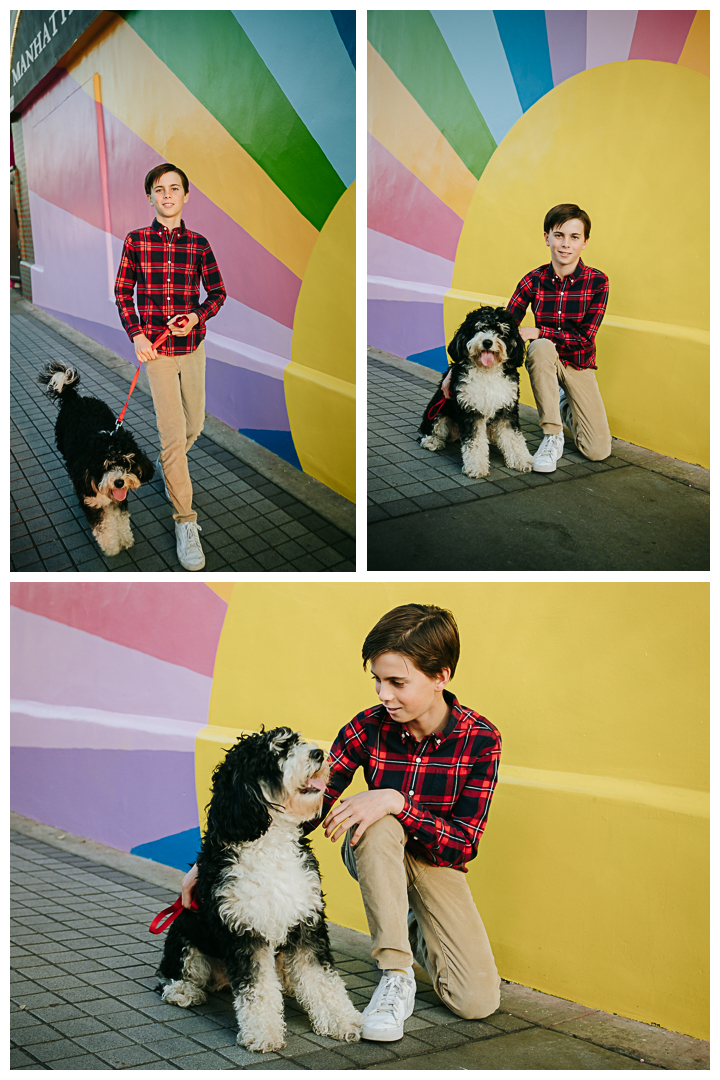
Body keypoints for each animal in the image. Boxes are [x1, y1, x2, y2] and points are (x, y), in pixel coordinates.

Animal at [38, 360, 153, 557]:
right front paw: (112, 547)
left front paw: (125, 539)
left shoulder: (119, 500)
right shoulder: (91, 502)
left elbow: (121, 520)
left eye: (126, 462)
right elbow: (104, 526)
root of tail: (76, 398)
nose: (119, 482)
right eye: (105, 466)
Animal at [155, 725, 362, 1054]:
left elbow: (323, 979)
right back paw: (182, 990)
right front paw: (264, 1032)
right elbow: (258, 988)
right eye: (275, 754)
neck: (270, 843)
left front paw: (341, 1020)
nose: (319, 753)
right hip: (184, 937)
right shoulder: (245, 931)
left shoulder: (306, 922)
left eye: (296, 741)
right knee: (170, 973)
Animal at [416, 302, 535, 475]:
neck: (487, 372)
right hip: (438, 410)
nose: (487, 342)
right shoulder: (470, 409)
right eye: (478, 328)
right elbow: (475, 441)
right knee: (430, 428)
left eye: (500, 331)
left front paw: (521, 459)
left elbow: (513, 437)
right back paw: (432, 440)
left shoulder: (507, 408)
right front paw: (476, 465)